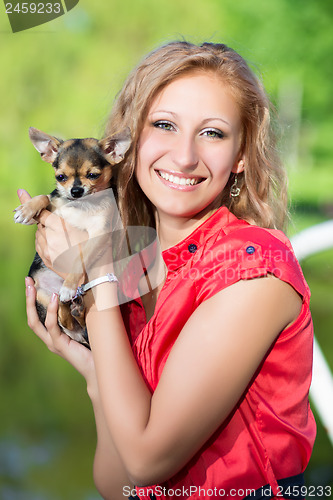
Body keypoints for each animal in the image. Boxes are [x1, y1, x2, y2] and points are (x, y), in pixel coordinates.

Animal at [14, 128, 131, 348]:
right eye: (61, 177)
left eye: (93, 175)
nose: (76, 190)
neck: (82, 205)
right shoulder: (52, 209)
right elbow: (45, 197)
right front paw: (27, 209)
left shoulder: (99, 232)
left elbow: (80, 258)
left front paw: (69, 286)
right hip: (41, 293)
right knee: (64, 320)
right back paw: (70, 307)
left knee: (71, 322)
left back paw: (74, 304)